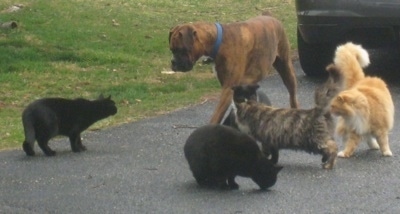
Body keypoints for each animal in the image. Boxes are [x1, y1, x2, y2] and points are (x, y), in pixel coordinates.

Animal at [170, 14, 298, 123]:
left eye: (181, 49)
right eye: (171, 50)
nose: (173, 62)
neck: (218, 42)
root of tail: (270, 16)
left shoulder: (227, 89)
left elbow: (216, 116)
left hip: (287, 71)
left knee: (293, 97)